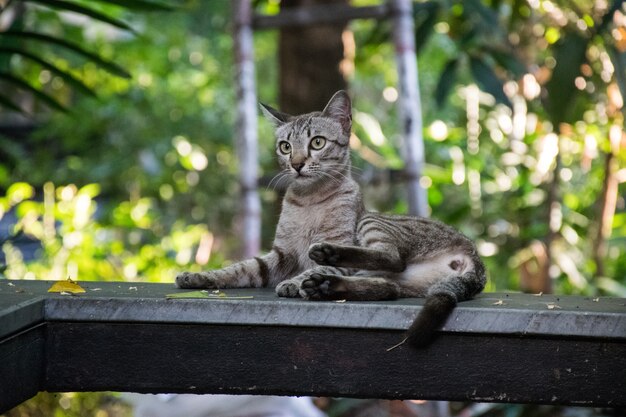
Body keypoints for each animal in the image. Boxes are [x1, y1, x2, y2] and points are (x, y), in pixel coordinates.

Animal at [173, 91, 486, 348]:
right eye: (285, 147)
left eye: (317, 142)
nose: (297, 164)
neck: (308, 201)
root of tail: (474, 258)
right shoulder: (280, 254)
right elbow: (240, 268)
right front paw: (199, 276)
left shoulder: (334, 244)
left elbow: (308, 267)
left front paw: (296, 281)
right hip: (392, 277)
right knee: (386, 288)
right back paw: (323, 286)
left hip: (373, 226)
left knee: (390, 257)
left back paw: (324, 261)